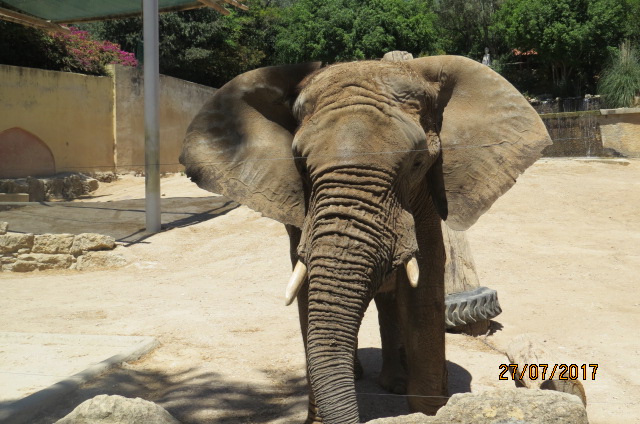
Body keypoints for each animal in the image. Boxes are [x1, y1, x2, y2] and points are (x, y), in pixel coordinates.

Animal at [180, 55, 551, 423]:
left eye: (417, 163)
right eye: (299, 165)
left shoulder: (426, 201)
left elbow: (424, 290)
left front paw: (430, 412)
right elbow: (307, 295)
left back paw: (394, 383)